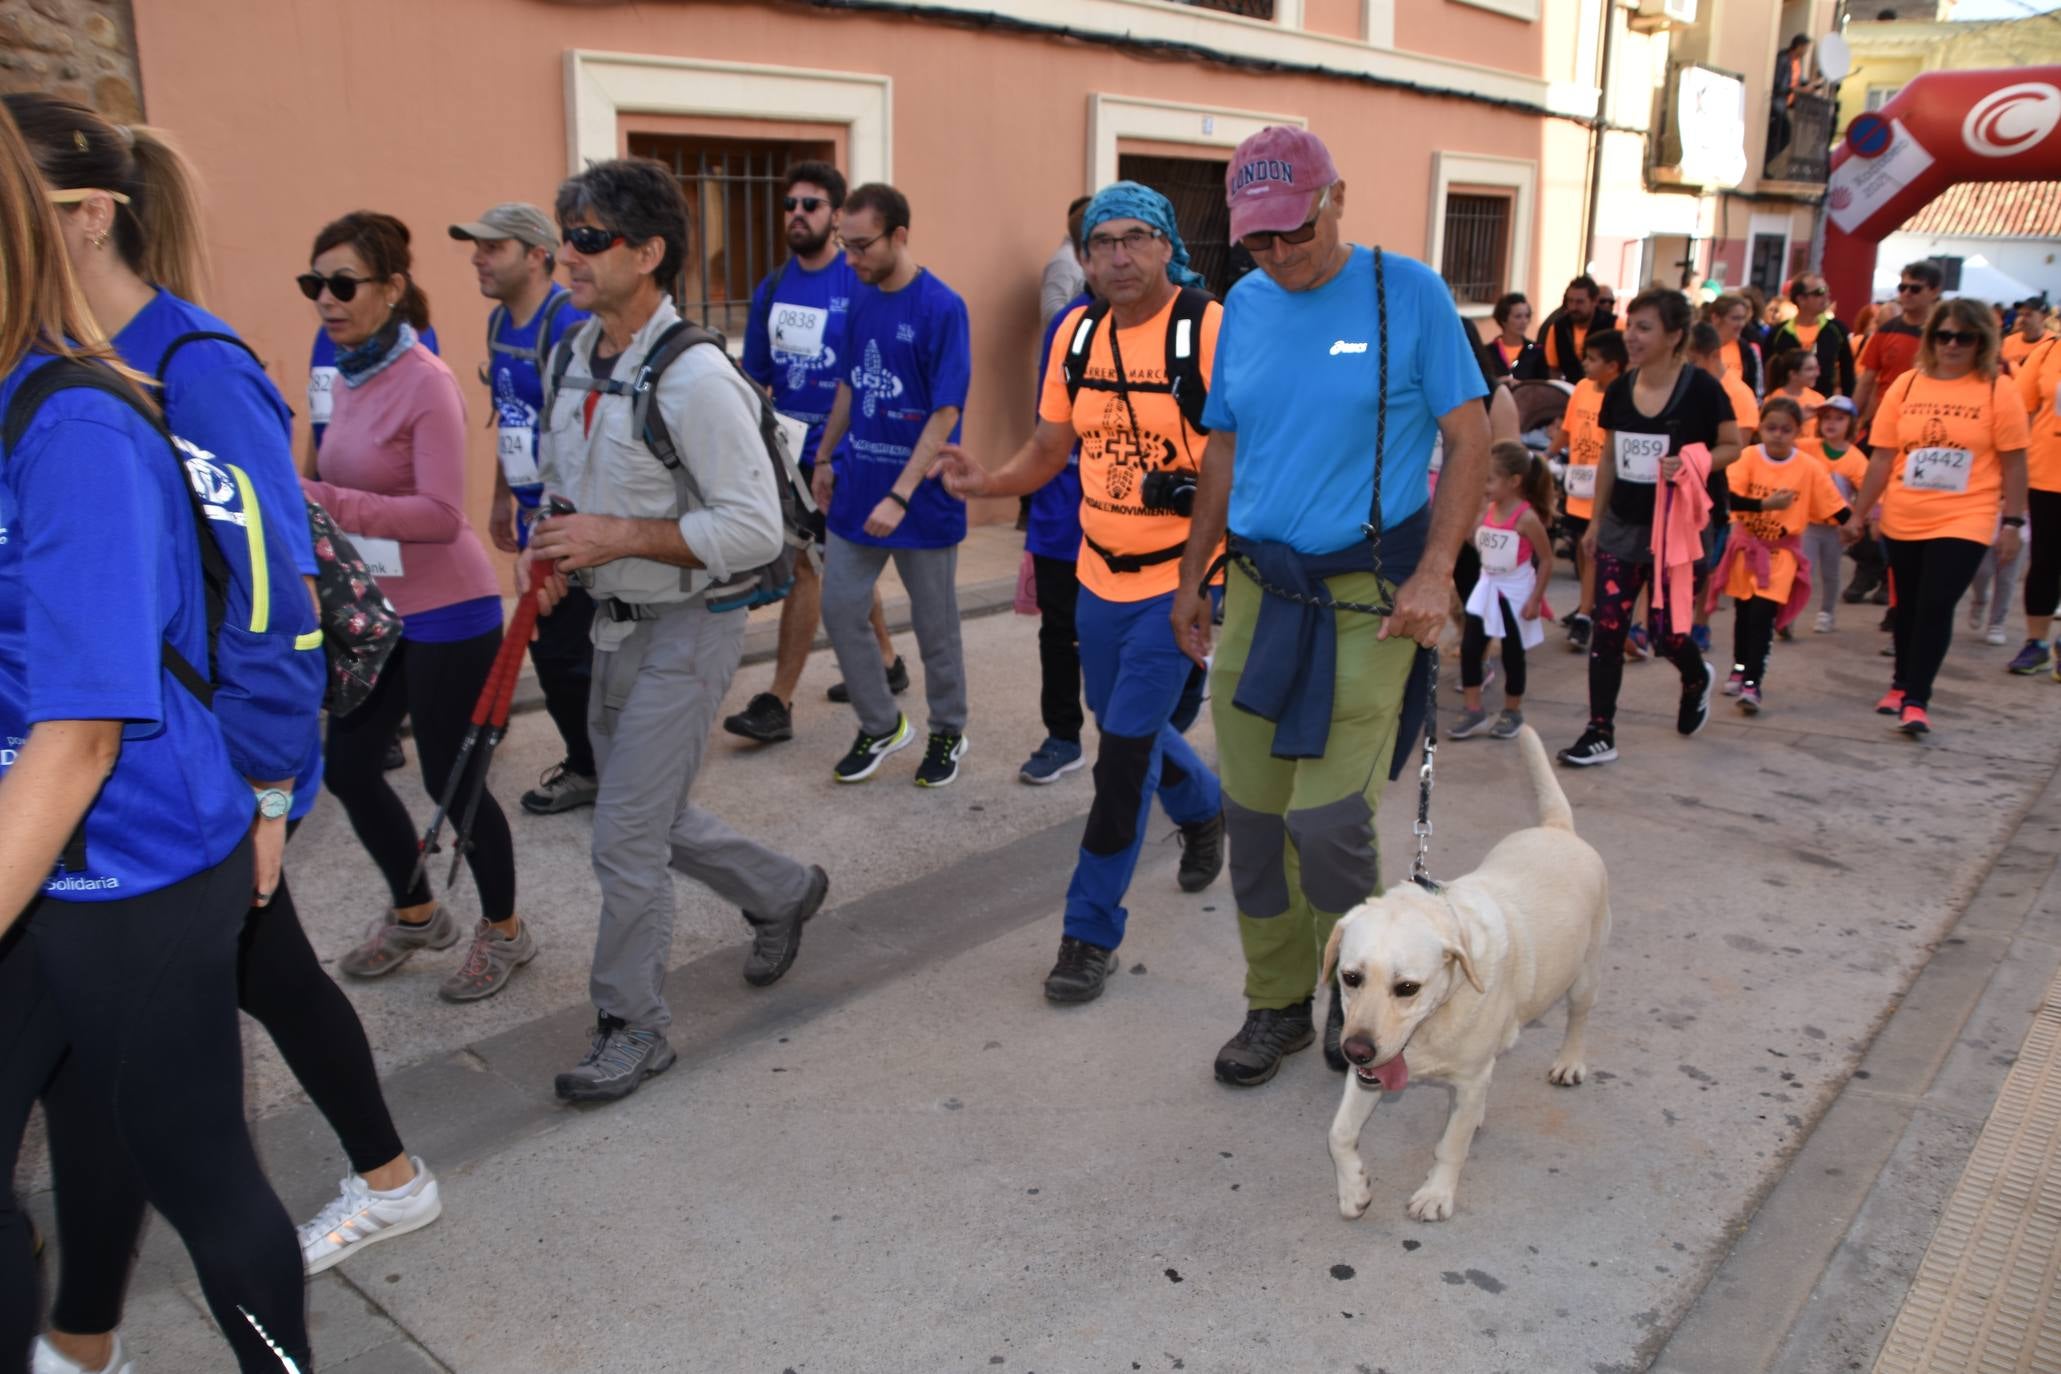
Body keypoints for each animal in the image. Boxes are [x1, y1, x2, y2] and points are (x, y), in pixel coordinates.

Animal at [1319, 729, 1607, 1227]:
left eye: (1407, 988)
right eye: (1350, 977)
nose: (1355, 1050)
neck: (1435, 1019)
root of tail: (1558, 829)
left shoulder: (1462, 1078)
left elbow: (1450, 1147)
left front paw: (1437, 1194)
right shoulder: (1371, 1074)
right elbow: (1338, 1134)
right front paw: (1353, 1188)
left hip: (1584, 975)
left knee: (1578, 1019)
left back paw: (1569, 1061)